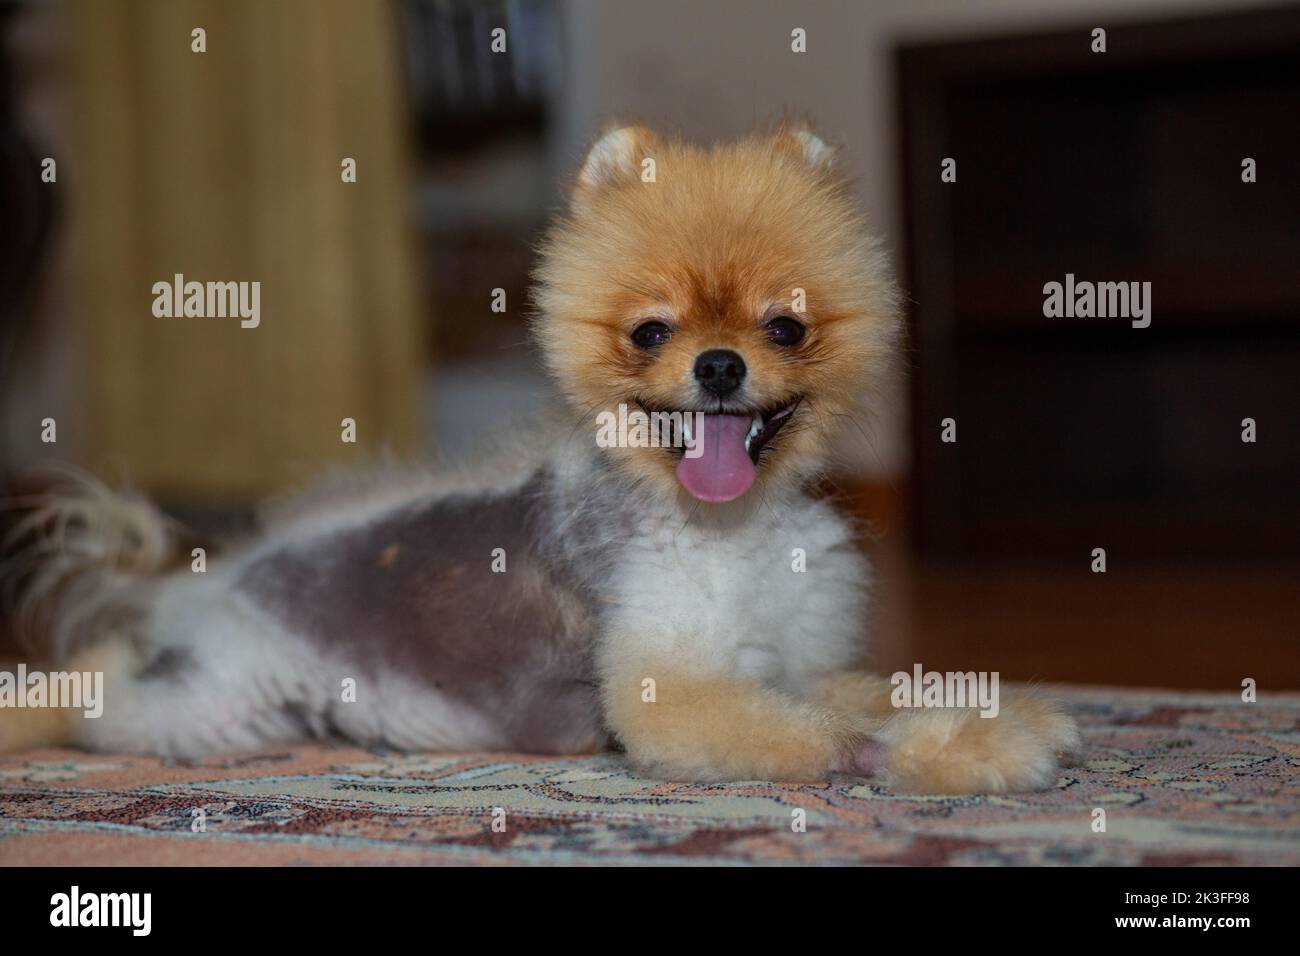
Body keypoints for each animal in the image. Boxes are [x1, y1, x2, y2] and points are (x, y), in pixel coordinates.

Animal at [0, 121, 1076, 790]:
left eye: (785, 327)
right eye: (650, 332)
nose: (720, 363)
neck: (730, 526)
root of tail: (193, 583)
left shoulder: (793, 658)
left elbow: (880, 688)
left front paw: (998, 712)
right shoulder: (671, 687)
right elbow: (842, 734)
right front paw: (964, 751)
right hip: (213, 704)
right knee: (96, 695)